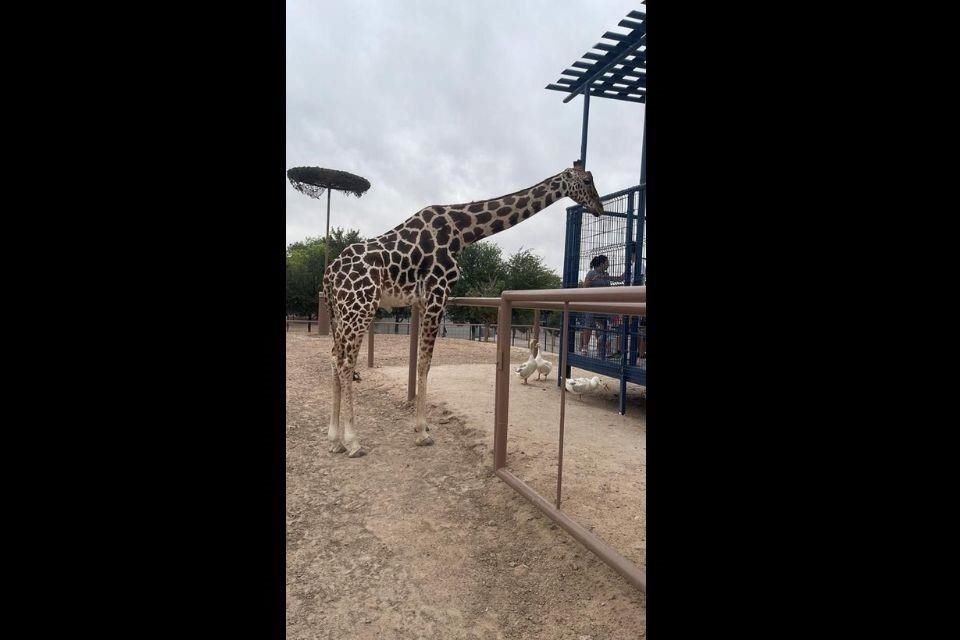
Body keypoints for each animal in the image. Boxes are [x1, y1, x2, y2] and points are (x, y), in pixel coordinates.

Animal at [322, 162, 608, 458]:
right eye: (587, 180)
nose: (599, 207)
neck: (462, 231)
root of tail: (329, 275)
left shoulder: (422, 301)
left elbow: (421, 361)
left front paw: (420, 427)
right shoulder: (437, 294)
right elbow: (424, 363)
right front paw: (422, 432)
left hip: (342, 311)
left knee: (334, 357)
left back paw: (334, 439)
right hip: (360, 307)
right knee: (345, 363)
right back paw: (353, 441)